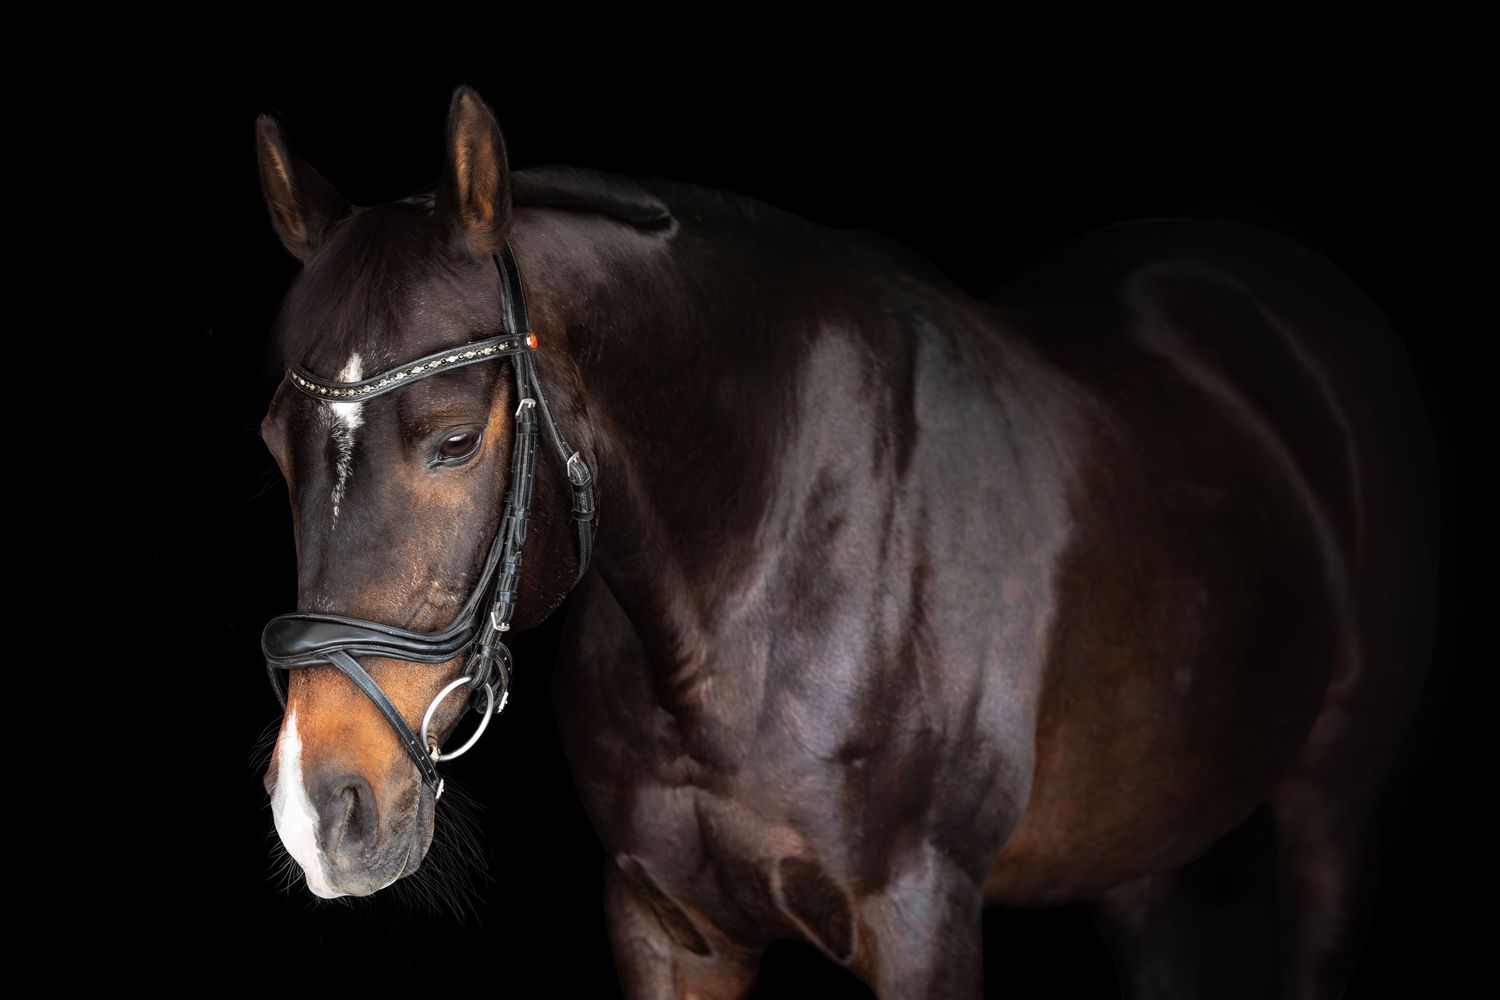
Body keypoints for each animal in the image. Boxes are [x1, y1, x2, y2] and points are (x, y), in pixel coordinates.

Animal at [252, 84, 1441, 999]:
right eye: (272, 443)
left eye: (453, 441)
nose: (321, 808)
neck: (759, 575)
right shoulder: (668, 925)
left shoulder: (921, 920)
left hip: (1336, 800)